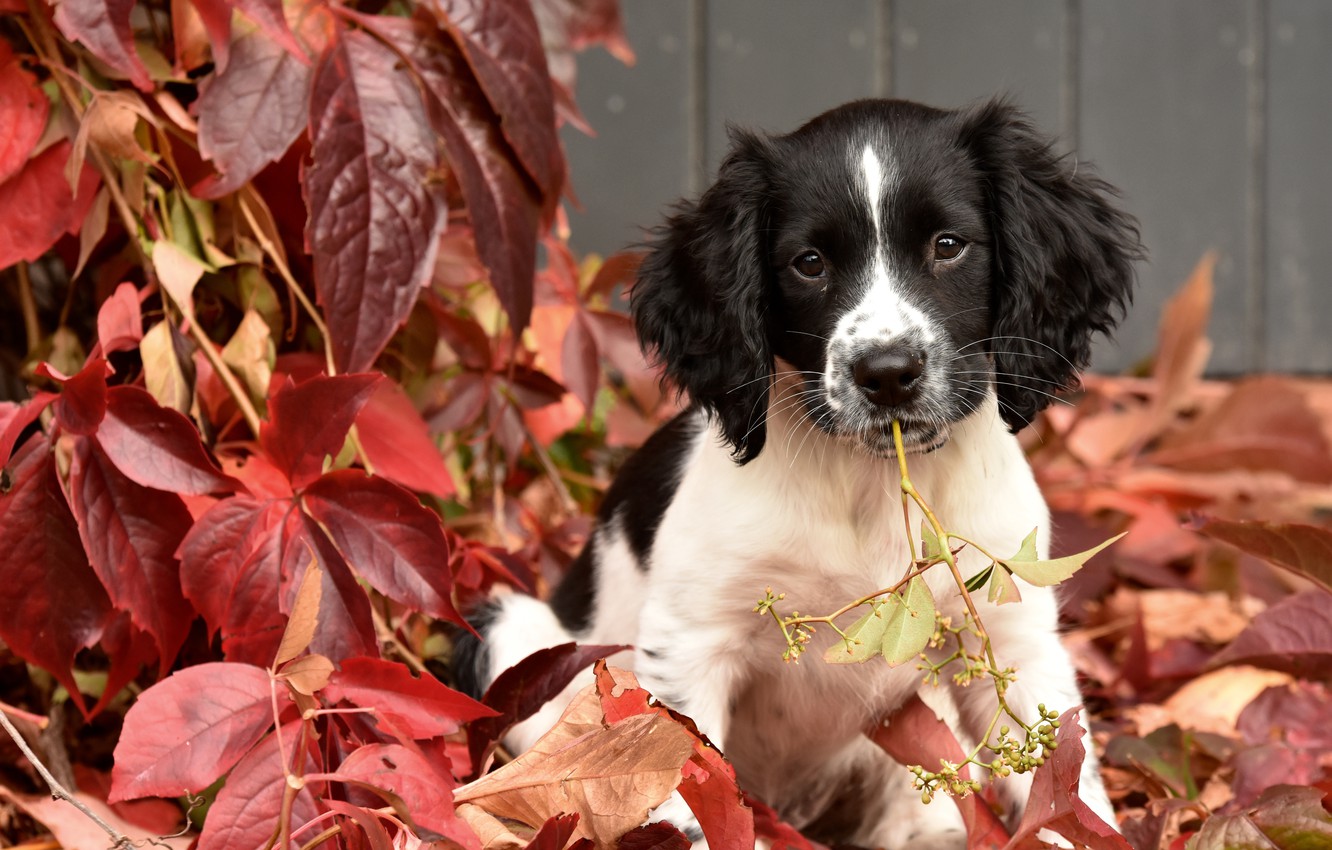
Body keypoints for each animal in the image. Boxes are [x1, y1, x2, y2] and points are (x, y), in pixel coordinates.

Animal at [452, 96, 1140, 847]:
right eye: (809, 263)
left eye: (949, 245)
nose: (887, 373)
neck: (872, 482)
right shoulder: (691, 641)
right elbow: (688, 793)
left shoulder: (1012, 637)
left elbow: (1067, 795)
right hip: (513, 633)